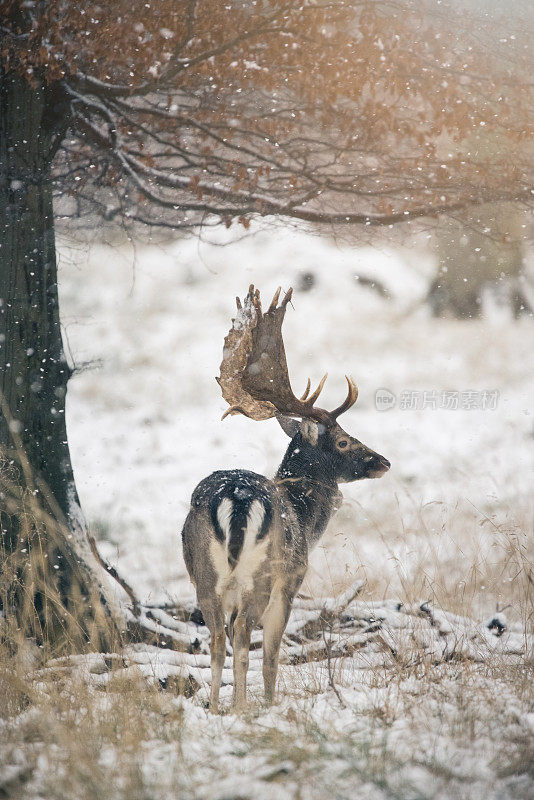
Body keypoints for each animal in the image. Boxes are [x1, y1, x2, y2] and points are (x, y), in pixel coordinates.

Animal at [182, 288, 392, 712]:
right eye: (343, 440)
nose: (383, 461)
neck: (304, 514)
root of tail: (236, 500)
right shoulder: (292, 581)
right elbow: (272, 654)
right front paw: (268, 702)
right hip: (263, 574)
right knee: (242, 636)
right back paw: (242, 708)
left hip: (204, 575)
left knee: (216, 639)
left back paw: (215, 707)